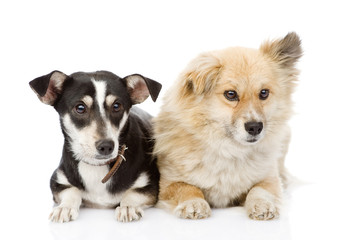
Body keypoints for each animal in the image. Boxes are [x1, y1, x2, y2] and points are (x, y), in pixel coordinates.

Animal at [29, 71, 162, 223]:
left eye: (117, 106)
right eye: (80, 108)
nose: (106, 146)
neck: (96, 166)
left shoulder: (151, 186)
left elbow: (132, 193)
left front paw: (127, 207)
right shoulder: (56, 181)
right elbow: (72, 190)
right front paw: (65, 207)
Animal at [153, 32, 302, 220]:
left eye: (264, 93)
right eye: (230, 94)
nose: (255, 127)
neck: (229, 150)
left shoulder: (269, 178)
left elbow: (259, 190)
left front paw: (262, 205)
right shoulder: (168, 183)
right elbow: (186, 188)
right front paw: (194, 203)